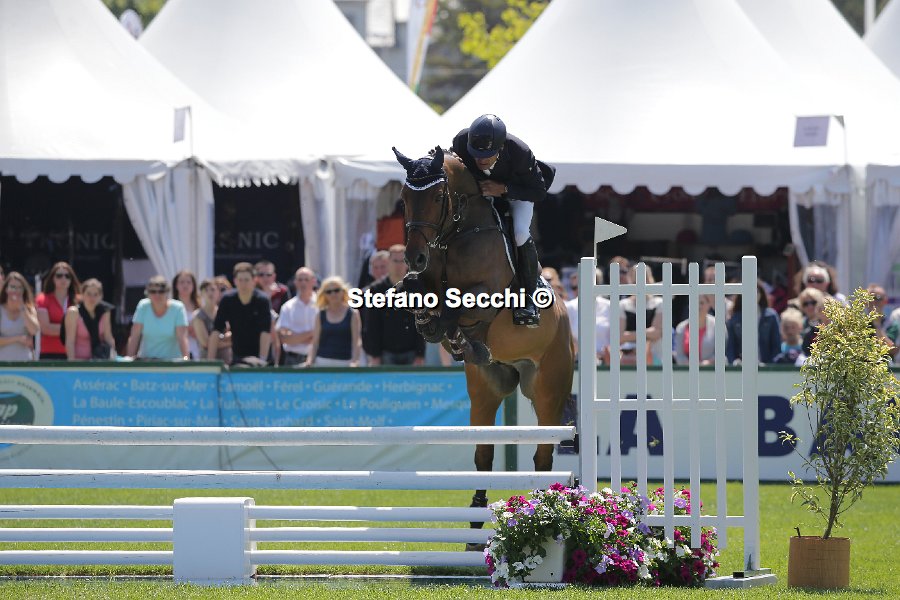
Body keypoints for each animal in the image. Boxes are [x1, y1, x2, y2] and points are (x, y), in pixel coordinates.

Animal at [392, 146, 575, 529]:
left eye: (437, 196)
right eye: (403, 199)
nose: (415, 256)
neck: (455, 234)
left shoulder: (486, 295)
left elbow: (455, 308)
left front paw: (447, 332)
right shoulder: (423, 280)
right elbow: (412, 290)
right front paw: (429, 322)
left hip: (548, 390)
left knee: (543, 456)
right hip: (486, 388)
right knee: (483, 454)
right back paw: (476, 516)